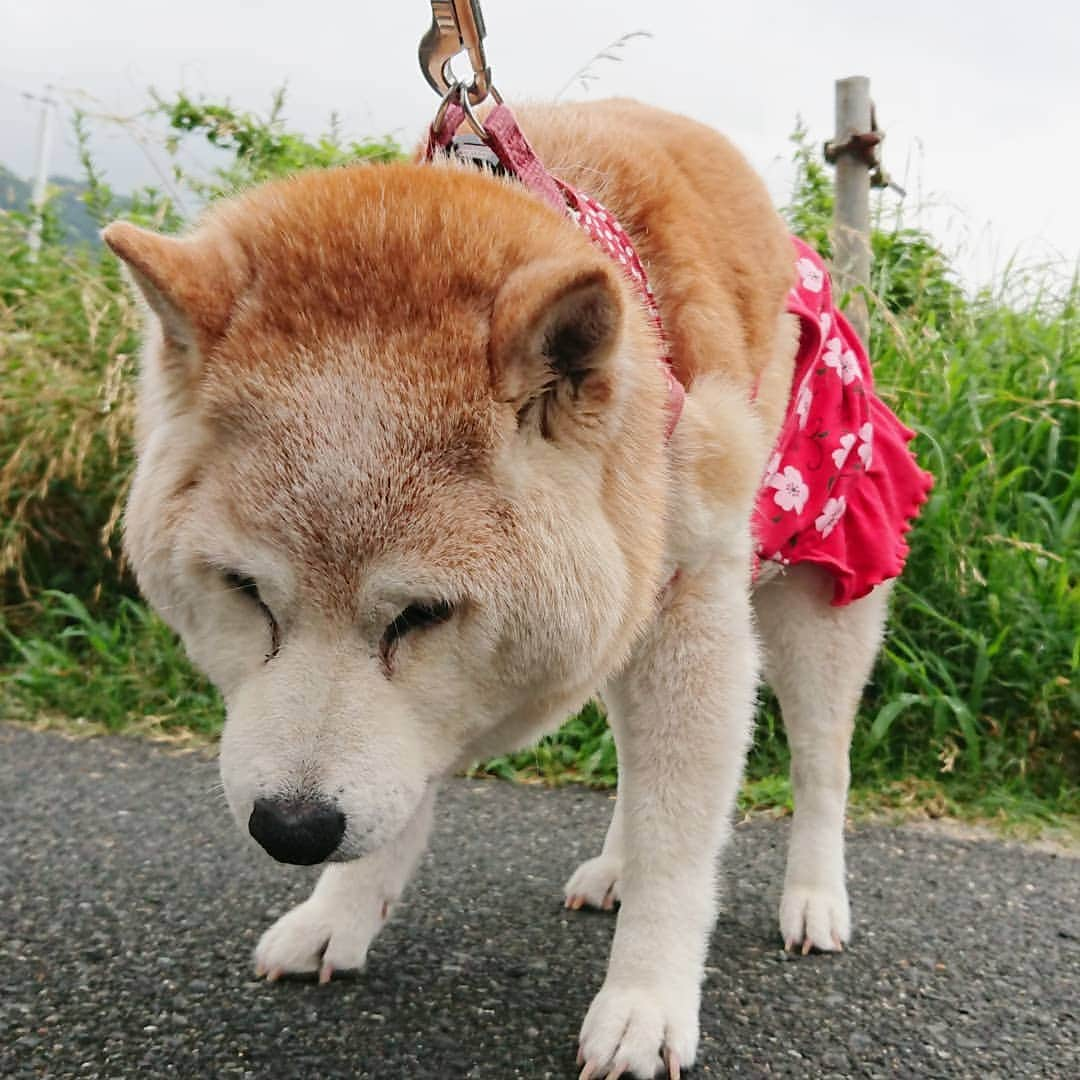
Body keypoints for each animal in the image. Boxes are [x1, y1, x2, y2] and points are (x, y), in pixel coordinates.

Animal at [103, 97, 928, 1075]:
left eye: (423, 614)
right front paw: (339, 912)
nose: (291, 830)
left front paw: (646, 1001)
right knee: (638, 765)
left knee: (820, 765)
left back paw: (813, 898)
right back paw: (613, 868)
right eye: (244, 590)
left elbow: (679, 835)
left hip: (812, 598)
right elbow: (407, 788)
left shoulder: (696, 612)